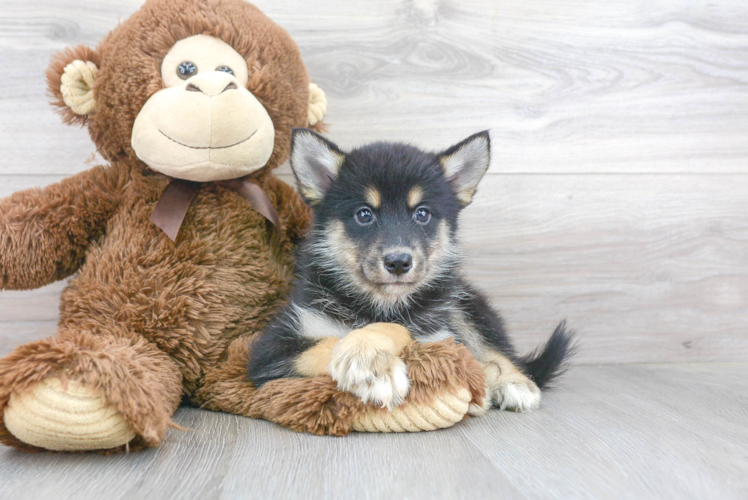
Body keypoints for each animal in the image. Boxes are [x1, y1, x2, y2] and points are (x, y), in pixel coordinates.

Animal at [248, 130, 576, 414]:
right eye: (364, 214)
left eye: (422, 213)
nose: (398, 262)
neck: (379, 305)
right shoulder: (271, 347)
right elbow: (328, 341)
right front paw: (372, 367)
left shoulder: (437, 335)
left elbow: (400, 330)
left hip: (464, 304)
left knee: (494, 348)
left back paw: (511, 382)